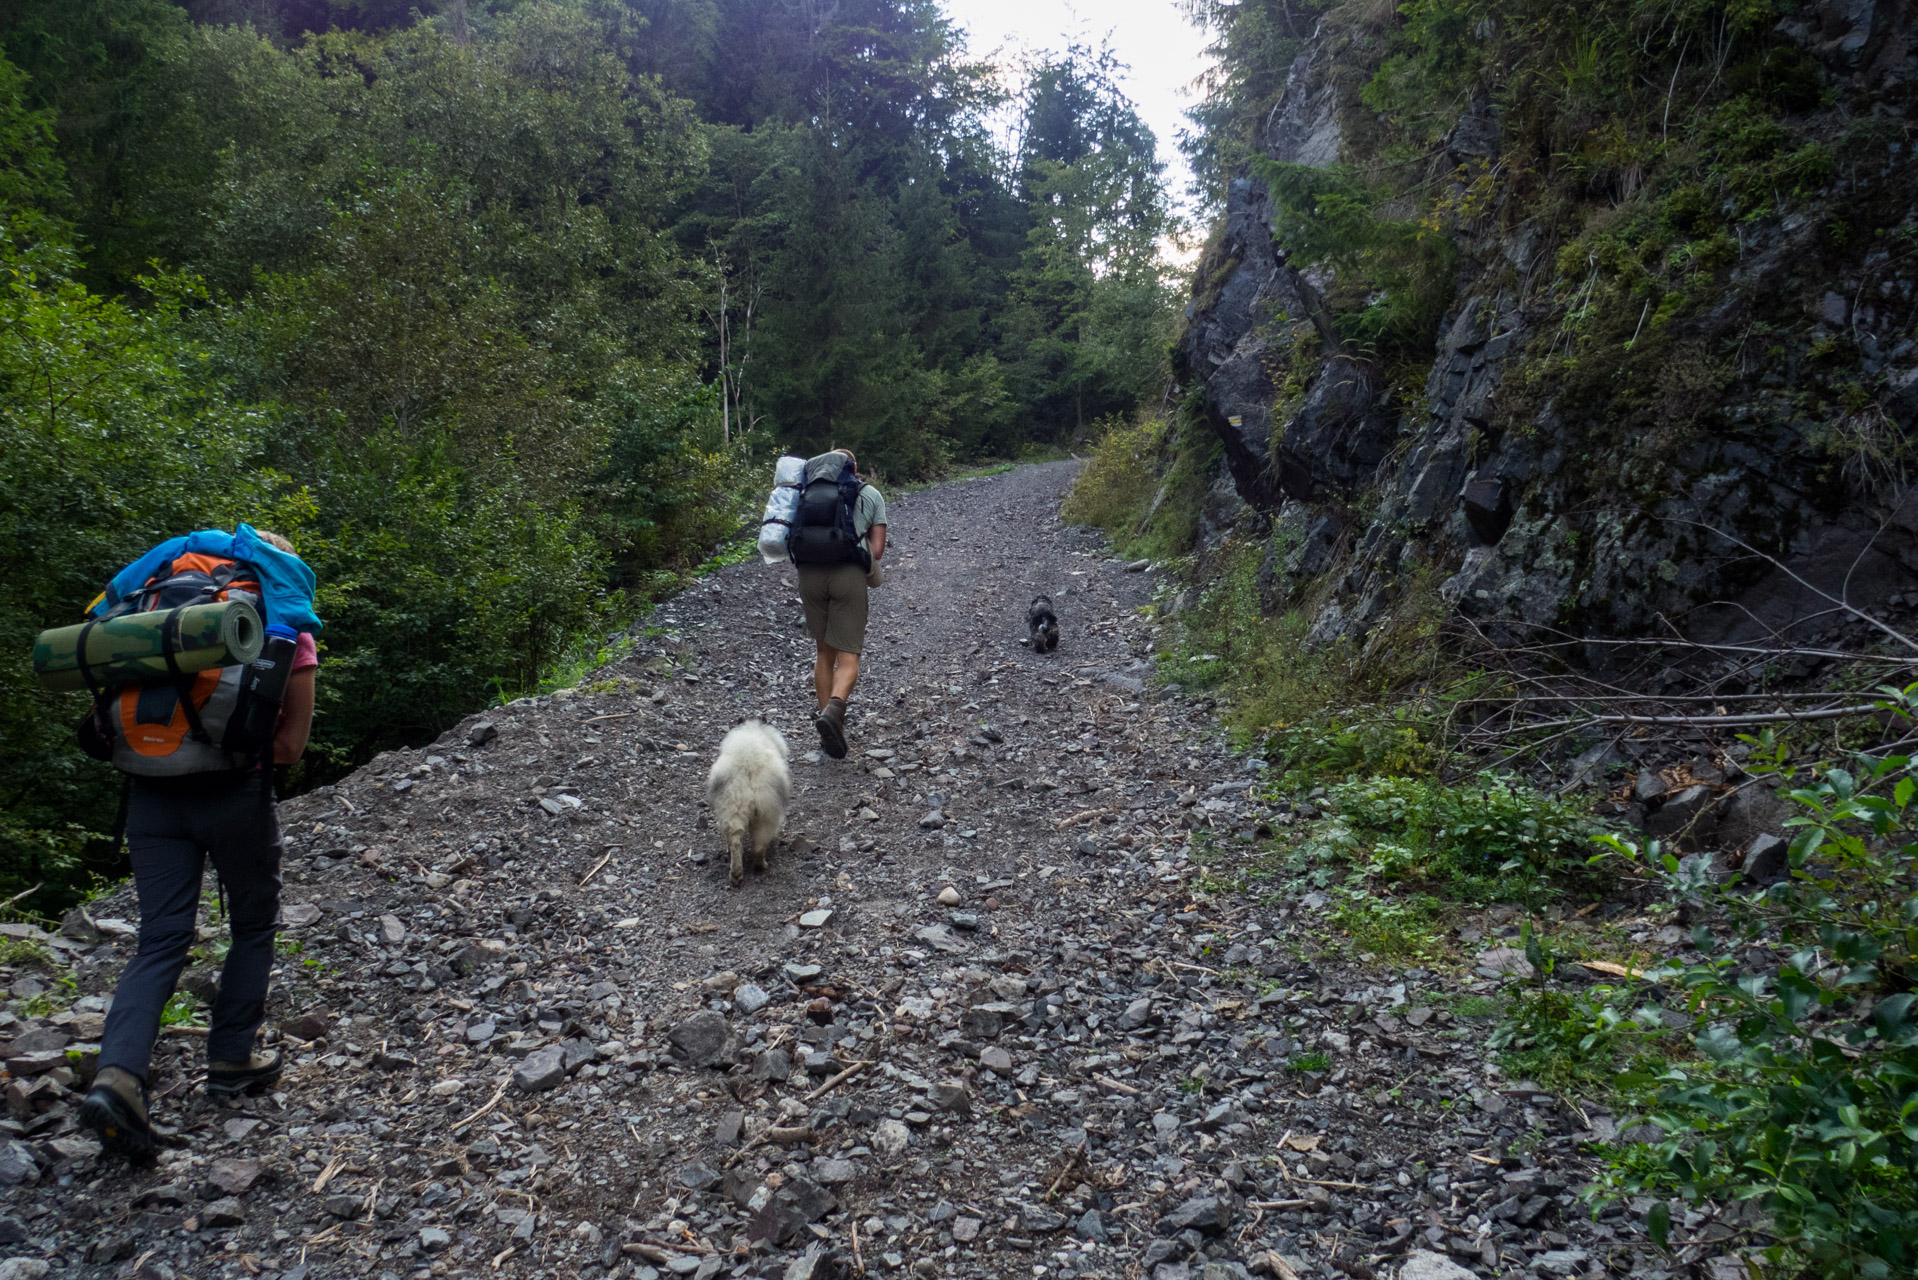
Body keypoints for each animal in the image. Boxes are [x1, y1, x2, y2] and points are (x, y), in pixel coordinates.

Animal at [709, 721, 790, 890]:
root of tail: (748, 767)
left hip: (732, 810)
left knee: (735, 840)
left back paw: (736, 874)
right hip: (766, 815)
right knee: (759, 844)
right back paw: (760, 865)